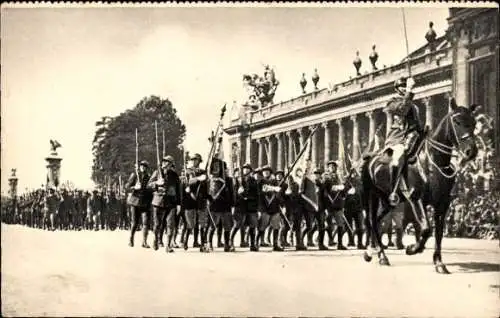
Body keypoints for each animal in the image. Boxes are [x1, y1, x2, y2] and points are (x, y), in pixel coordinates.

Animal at [362, 98, 478, 272]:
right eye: (457, 121)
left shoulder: (442, 204)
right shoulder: (416, 199)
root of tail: (370, 158)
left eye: (474, 122)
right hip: (372, 195)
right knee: (371, 221)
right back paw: (380, 255)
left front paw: (438, 262)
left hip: (387, 201)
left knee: (376, 220)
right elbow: (426, 229)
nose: (472, 151)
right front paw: (413, 249)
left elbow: (438, 233)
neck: (433, 161)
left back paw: (374, 252)